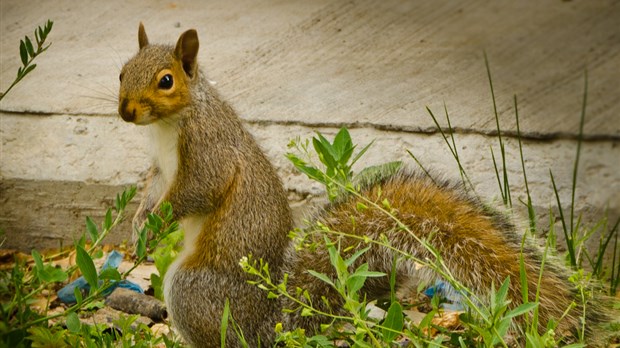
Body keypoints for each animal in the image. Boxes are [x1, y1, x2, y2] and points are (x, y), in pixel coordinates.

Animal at [120, 23, 612, 346]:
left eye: (166, 81)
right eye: (122, 71)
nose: (125, 111)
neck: (168, 126)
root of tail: (272, 321)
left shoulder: (210, 151)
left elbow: (198, 190)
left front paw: (157, 221)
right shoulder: (161, 166)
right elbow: (154, 187)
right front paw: (140, 221)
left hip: (192, 289)